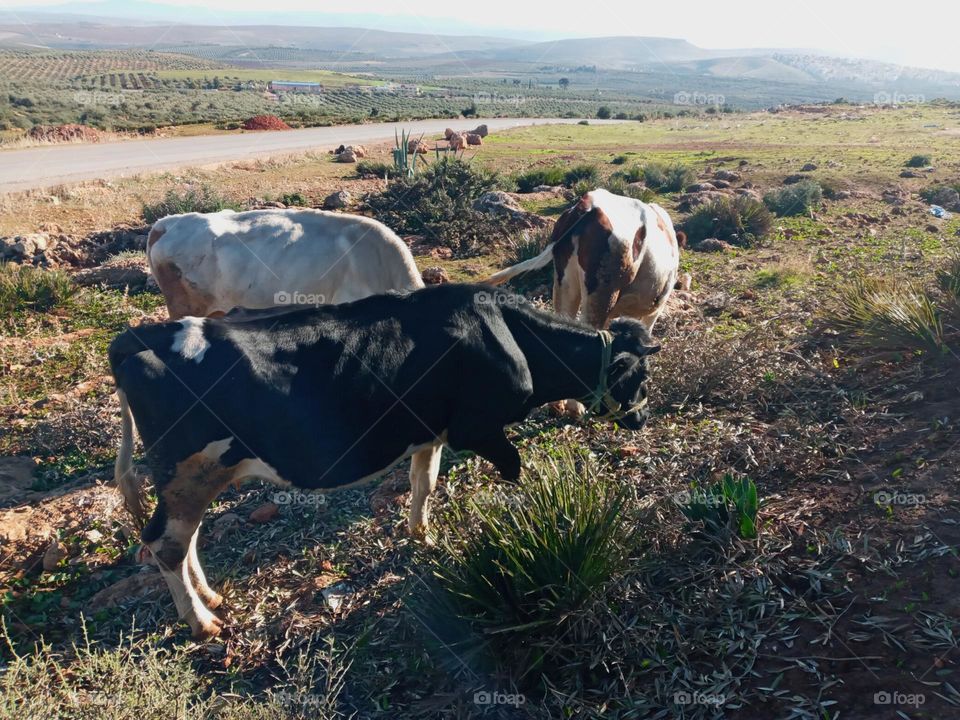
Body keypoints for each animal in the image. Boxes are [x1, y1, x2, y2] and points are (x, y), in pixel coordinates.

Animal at [110, 283, 659, 638]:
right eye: (640, 375)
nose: (641, 417)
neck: (510, 335)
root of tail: (138, 336)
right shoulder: (479, 429)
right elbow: (516, 473)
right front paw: (536, 522)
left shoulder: (430, 433)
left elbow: (424, 483)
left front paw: (422, 535)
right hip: (189, 470)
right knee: (166, 543)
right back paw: (203, 623)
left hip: (199, 475)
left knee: (184, 537)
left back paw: (211, 598)